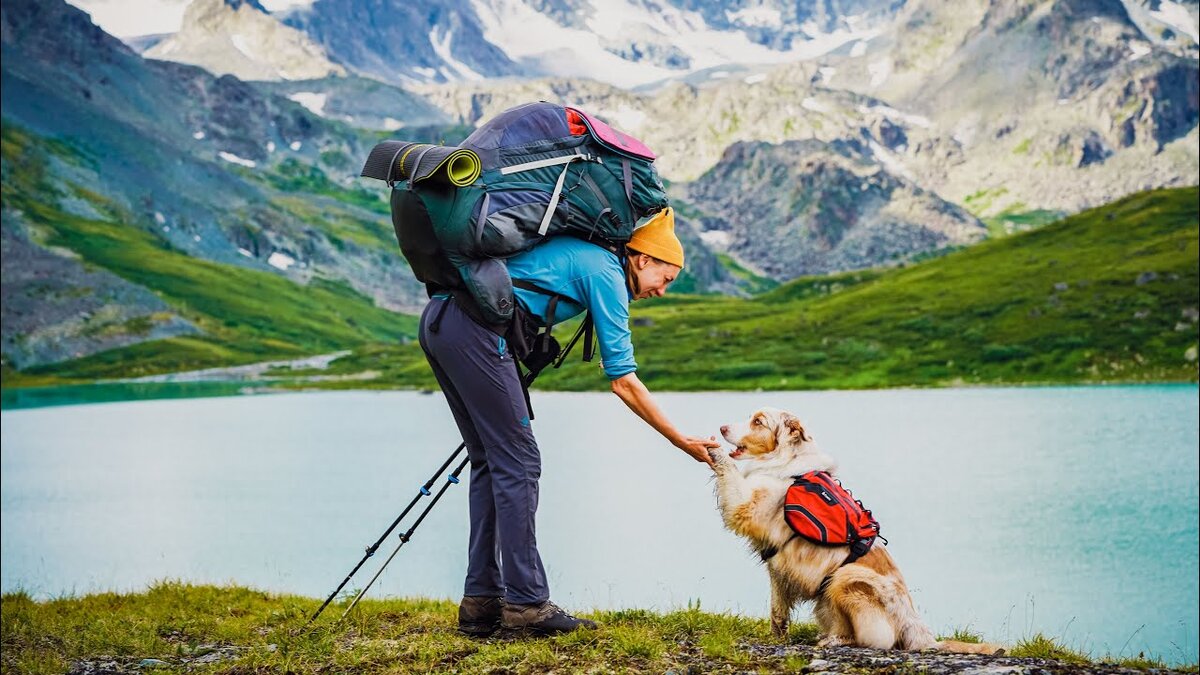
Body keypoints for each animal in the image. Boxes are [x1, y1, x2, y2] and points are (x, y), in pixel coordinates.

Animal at [710, 403, 1003, 653]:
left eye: (758, 421)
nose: (722, 428)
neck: (785, 461)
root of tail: (919, 632)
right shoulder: (777, 571)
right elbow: (778, 611)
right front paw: (777, 638)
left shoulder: (748, 507)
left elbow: (731, 475)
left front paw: (714, 452)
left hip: (846, 578)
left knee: (873, 640)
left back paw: (835, 641)